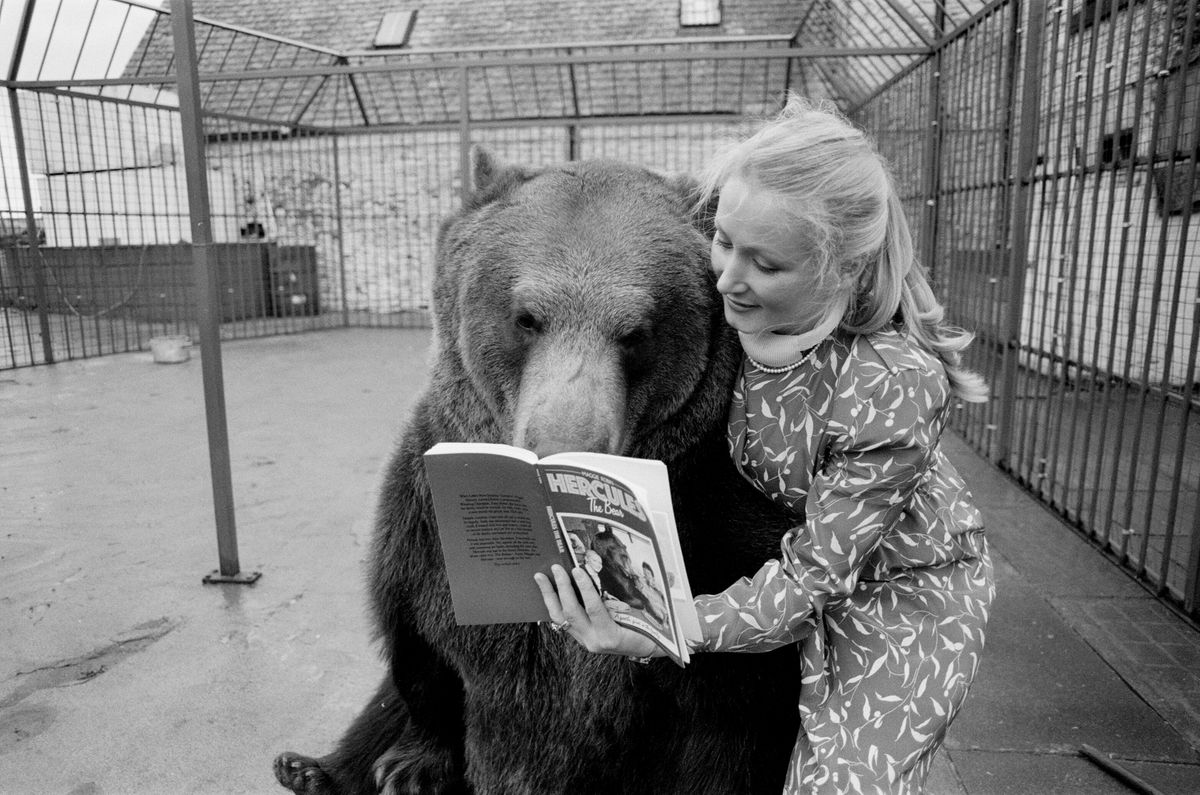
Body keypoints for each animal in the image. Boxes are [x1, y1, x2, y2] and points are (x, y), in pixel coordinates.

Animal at [274, 149, 800, 794]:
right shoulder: (423, 514)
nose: (563, 443)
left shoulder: (719, 522)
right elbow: (421, 640)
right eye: (526, 317)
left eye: (636, 332)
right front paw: (409, 766)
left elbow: (735, 709)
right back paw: (310, 768)